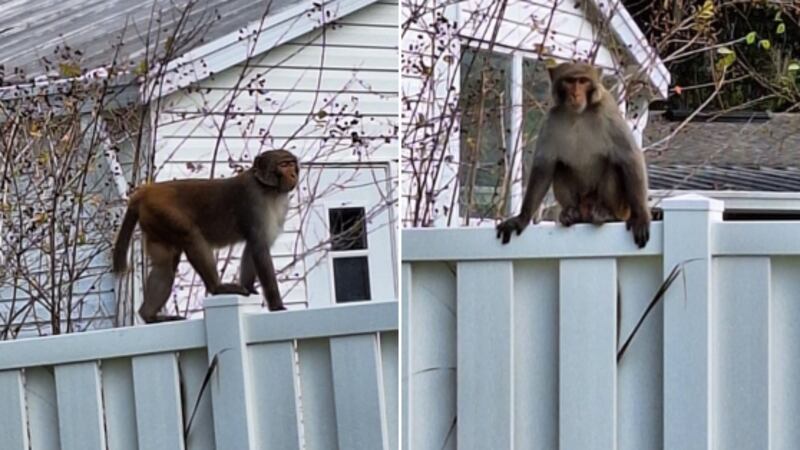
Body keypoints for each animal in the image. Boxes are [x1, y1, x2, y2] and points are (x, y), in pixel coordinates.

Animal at [112, 149, 298, 323]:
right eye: (283, 165)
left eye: (291, 163)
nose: (293, 174)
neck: (268, 189)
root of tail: (146, 191)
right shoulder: (253, 198)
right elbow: (259, 247)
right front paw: (277, 306)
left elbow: (254, 247)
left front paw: (249, 287)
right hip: (162, 210)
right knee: (191, 236)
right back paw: (217, 287)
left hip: (154, 221)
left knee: (164, 266)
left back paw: (149, 316)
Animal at [496, 62, 650, 248]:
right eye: (570, 81)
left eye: (583, 81)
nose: (575, 94)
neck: (579, 113)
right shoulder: (552, 118)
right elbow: (544, 166)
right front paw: (521, 218)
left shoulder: (607, 111)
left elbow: (630, 157)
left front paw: (641, 216)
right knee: (560, 166)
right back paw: (571, 213)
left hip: (620, 207)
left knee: (613, 166)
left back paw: (606, 212)